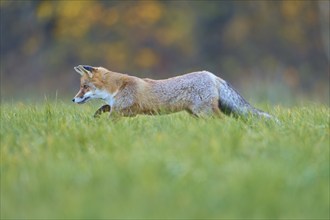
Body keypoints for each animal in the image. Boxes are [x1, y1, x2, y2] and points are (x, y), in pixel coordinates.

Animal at [73, 65, 276, 120]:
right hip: (196, 114)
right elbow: (104, 107)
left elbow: (109, 119)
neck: (116, 88)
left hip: (204, 112)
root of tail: (212, 75)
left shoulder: (122, 111)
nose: (73, 99)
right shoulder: (125, 110)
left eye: (84, 87)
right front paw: (96, 115)